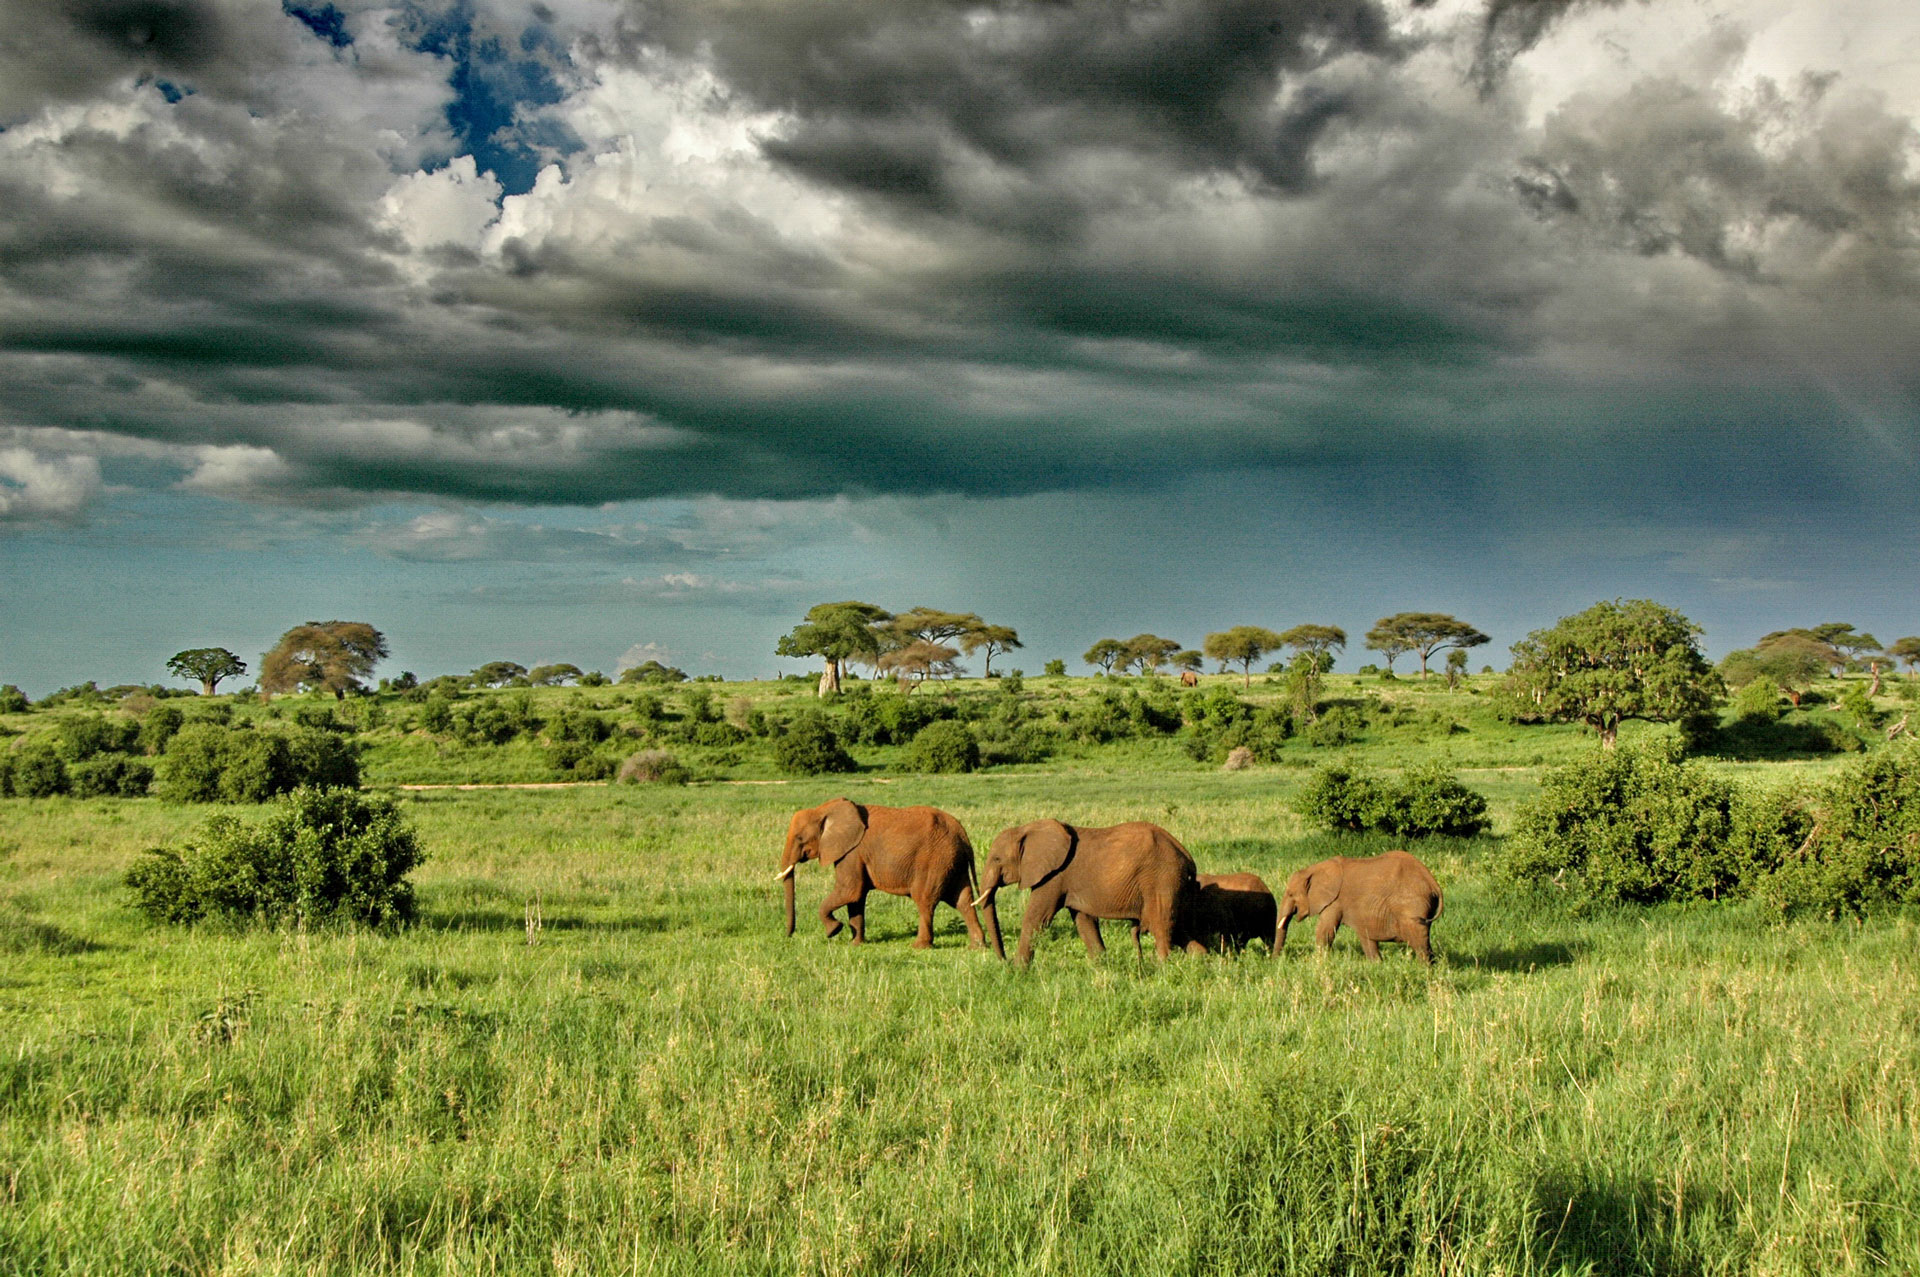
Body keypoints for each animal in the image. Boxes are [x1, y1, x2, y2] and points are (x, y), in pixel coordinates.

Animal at [775, 798, 990, 944]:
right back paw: (978, 946)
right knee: (963, 901)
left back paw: (919, 946)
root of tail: (963, 834)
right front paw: (855, 944)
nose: (789, 935)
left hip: (935, 861)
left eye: (800, 838)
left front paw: (833, 931)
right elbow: (856, 898)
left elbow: (850, 891)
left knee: (925, 901)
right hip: (952, 862)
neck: (824, 810)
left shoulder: (852, 853)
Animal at [975, 821, 1198, 960]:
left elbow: (1036, 918)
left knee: (1161, 926)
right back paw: (1200, 963)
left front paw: (1017, 971)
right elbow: (1084, 921)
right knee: (1179, 928)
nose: (1003, 959)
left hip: (1162, 879)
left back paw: (1163, 967)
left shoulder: (1054, 876)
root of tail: (1186, 855)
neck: (1026, 828)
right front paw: (1102, 965)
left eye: (997, 859)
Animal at [1274, 852, 1443, 960]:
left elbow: (1324, 931)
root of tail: (1432, 881)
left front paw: (1319, 963)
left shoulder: (1335, 901)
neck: (1314, 869)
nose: (1274, 960)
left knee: (1420, 944)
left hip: (1412, 906)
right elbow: (1365, 936)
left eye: (1290, 894)